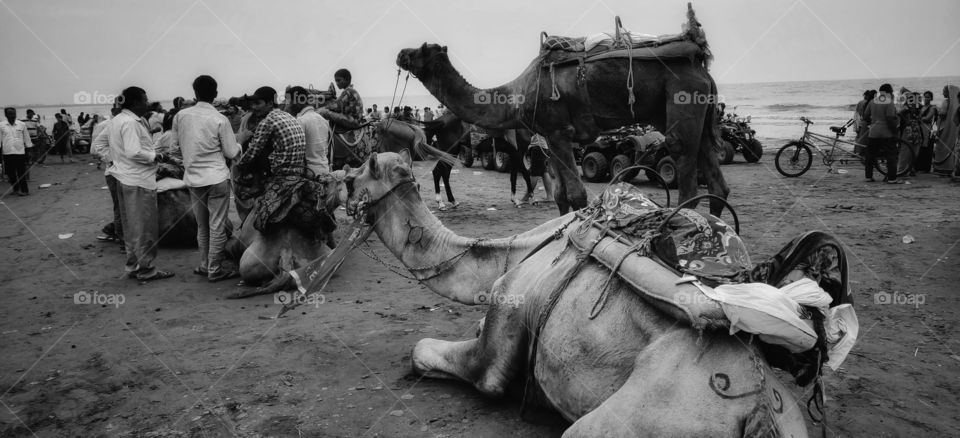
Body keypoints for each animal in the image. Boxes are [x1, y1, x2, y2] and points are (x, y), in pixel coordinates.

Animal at [398, 5, 728, 216]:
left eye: (421, 49)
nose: (401, 53)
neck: (515, 95)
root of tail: (700, 60)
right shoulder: (548, 135)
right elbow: (560, 195)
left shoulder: (559, 131)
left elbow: (577, 195)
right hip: (685, 110)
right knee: (716, 181)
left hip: (682, 95)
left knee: (685, 166)